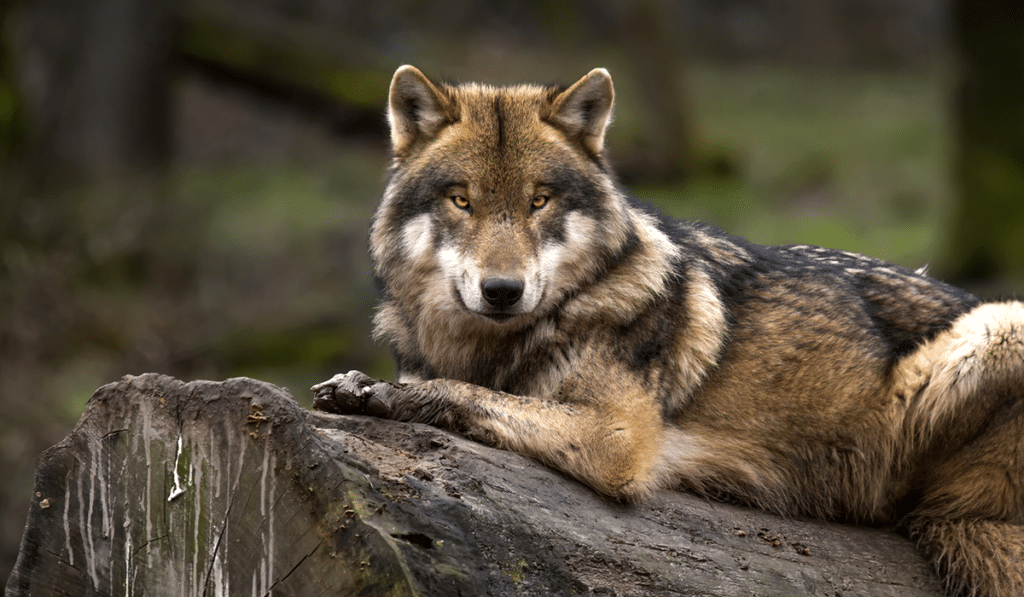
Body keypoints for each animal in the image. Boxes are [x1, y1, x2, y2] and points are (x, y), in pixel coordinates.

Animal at [312, 65, 1024, 597]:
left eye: (539, 201)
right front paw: (360, 385)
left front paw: (386, 396)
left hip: (997, 328)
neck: (489, 346)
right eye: (462, 201)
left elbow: (470, 396)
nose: (502, 291)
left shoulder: (617, 438)